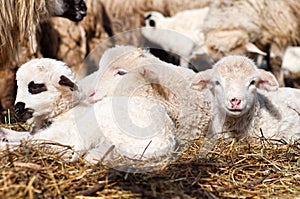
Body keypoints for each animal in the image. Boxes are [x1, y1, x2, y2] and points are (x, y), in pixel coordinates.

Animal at [0, 58, 176, 164]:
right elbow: (25, 136)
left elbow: (31, 141)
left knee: (70, 150)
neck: (65, 110)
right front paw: (5, 134)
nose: (17, 108)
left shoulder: (60, 132)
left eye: (35, 86)